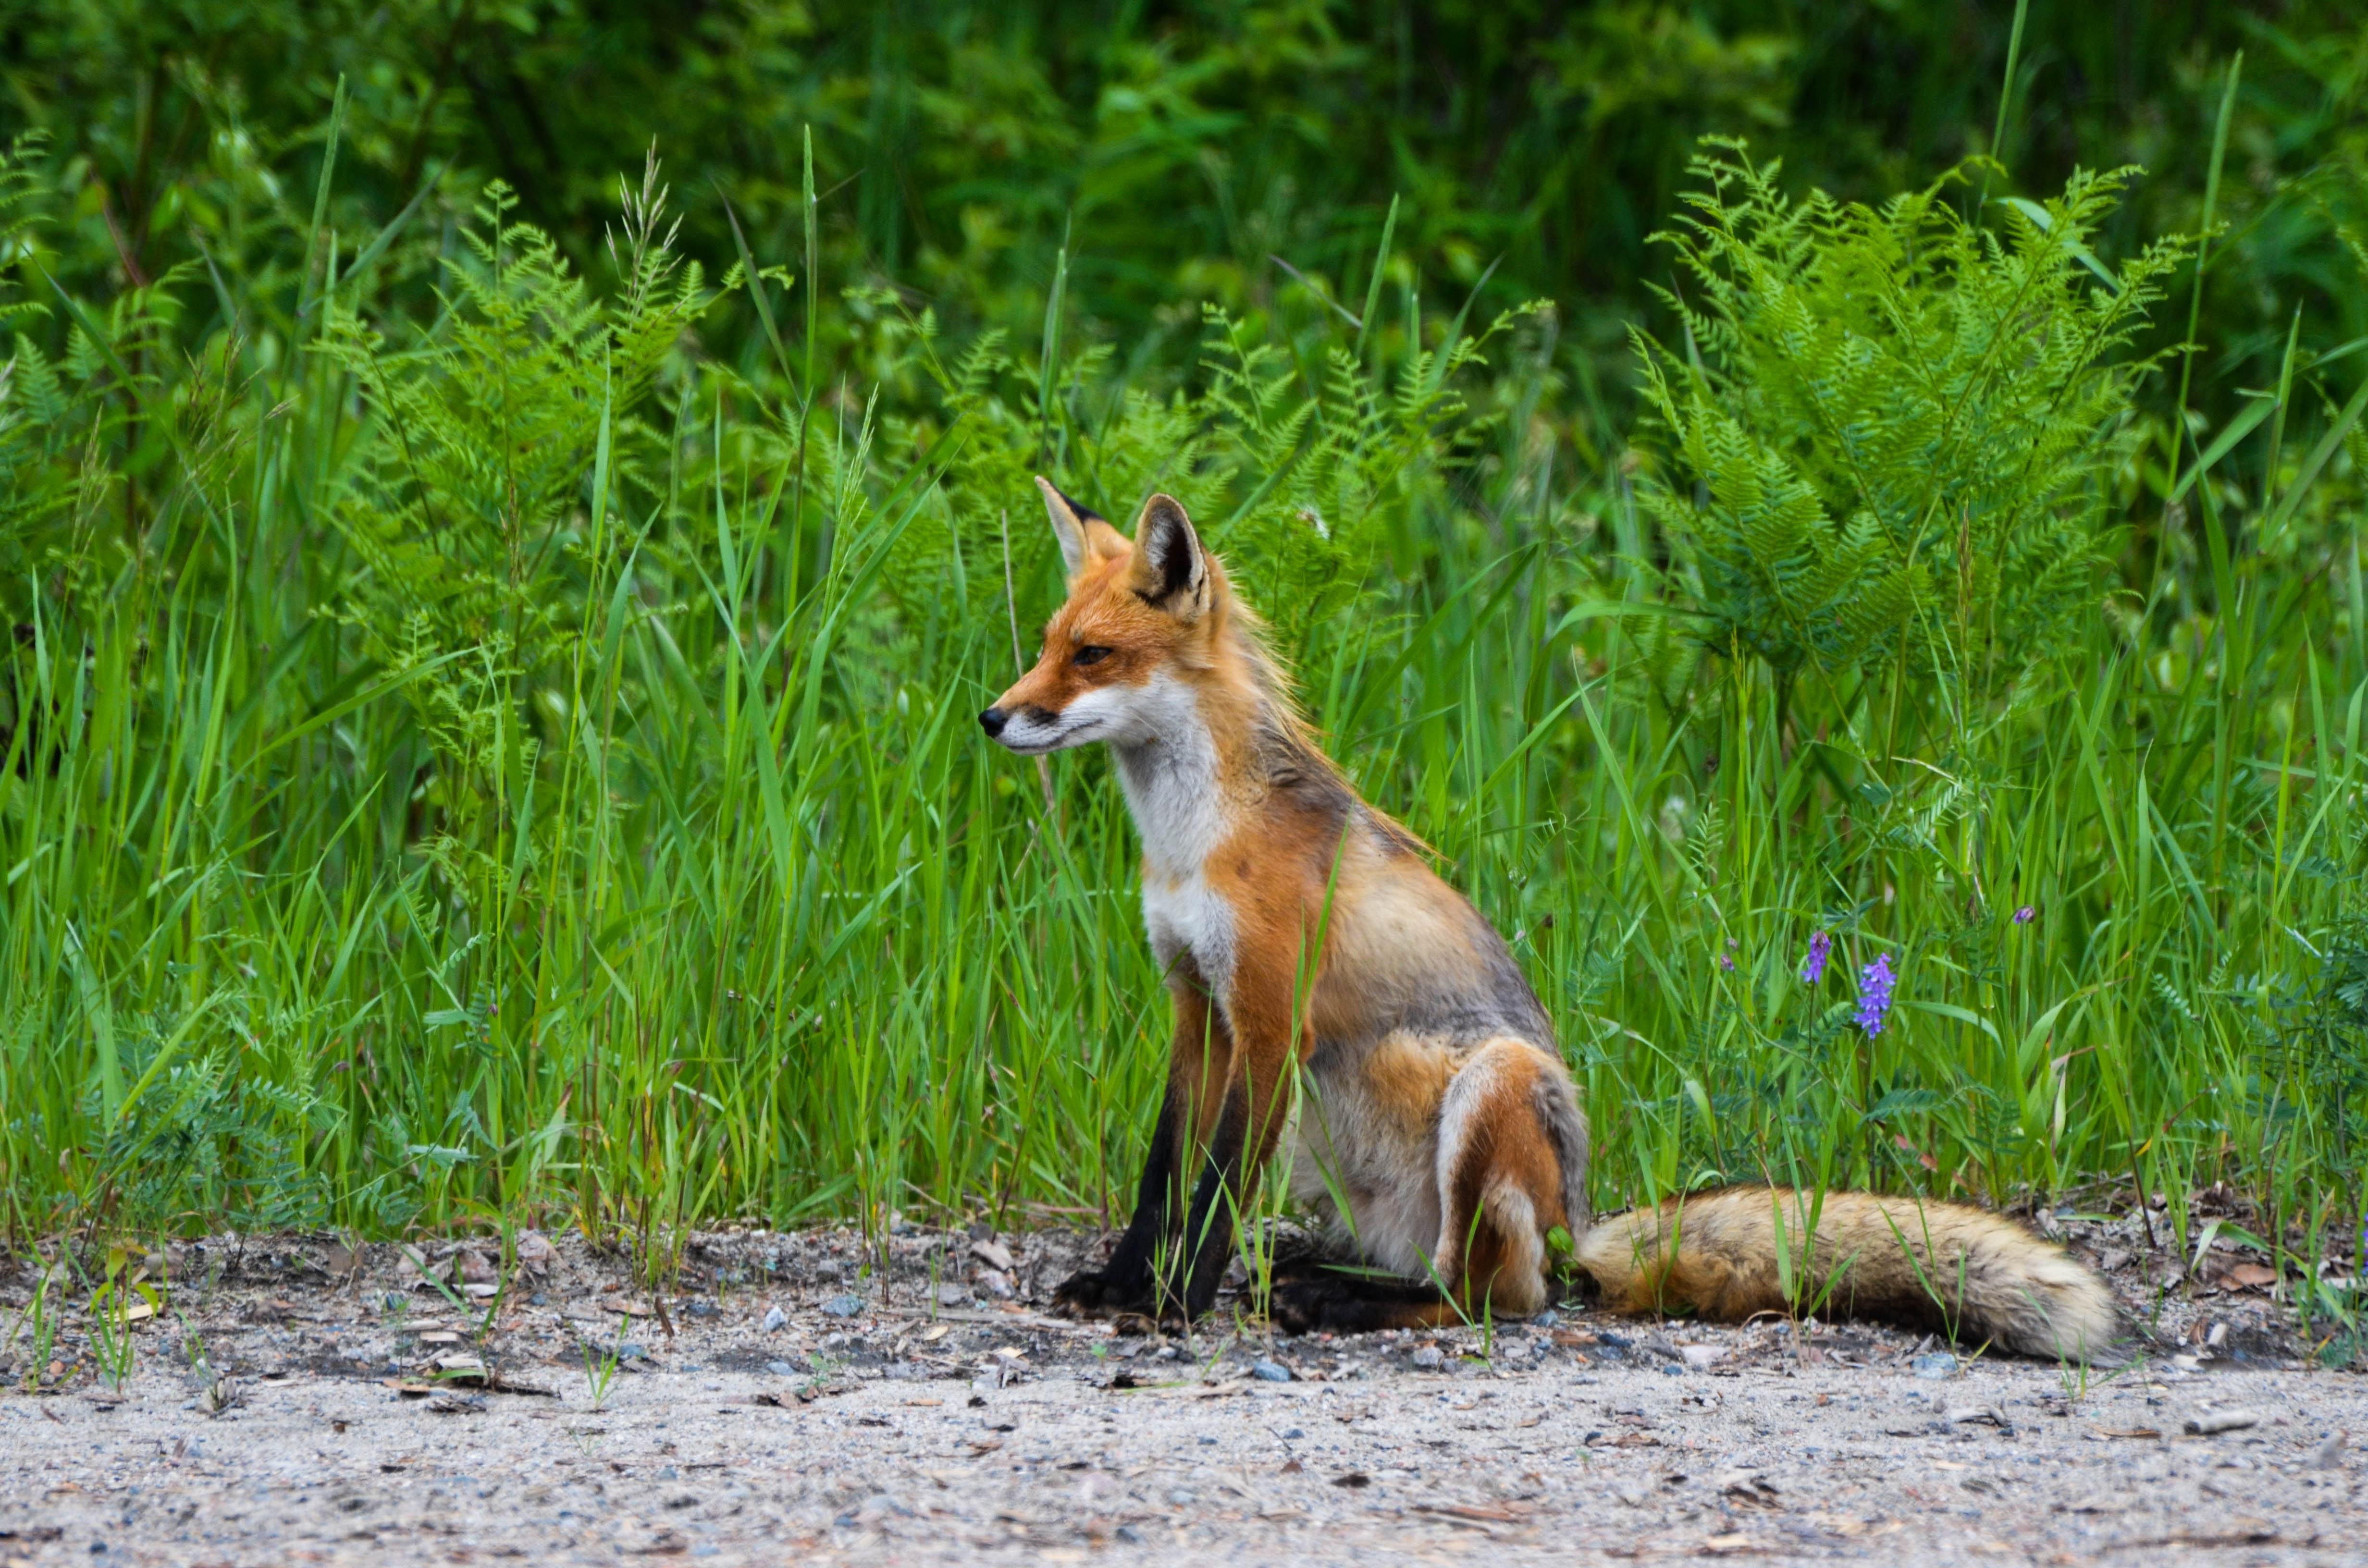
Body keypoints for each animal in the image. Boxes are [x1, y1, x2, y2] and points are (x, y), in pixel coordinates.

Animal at [980, 478, 2131, 1364]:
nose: (993, 715)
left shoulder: (1267, 1023)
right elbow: (1159, 1172)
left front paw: (1176, 1306)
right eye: (1043, 647)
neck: (1190, 842)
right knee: (1454, 1273)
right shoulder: (1193, 1003)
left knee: (1488, 1297)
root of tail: (1580, 1228)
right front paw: (1124, 1286)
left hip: (1495, 1084)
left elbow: (1214, 1189)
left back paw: (1340, 1302)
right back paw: (1324, 1271)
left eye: (1091, 656)